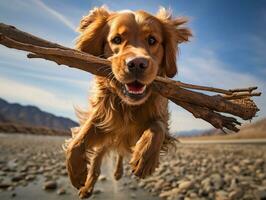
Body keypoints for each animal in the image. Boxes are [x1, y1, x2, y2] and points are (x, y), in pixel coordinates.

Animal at [65, 6, 192, 198]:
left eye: (152, 40)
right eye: (116, 39)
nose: (137, 64)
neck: (129, 106)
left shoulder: (160, 114)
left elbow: (158, 127)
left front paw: (145, 158)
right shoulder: (104, 118)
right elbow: (79, 138)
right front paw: (77, 171)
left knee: (120, 152)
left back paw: (118, 172)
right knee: (99, 157)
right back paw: (88, 186)